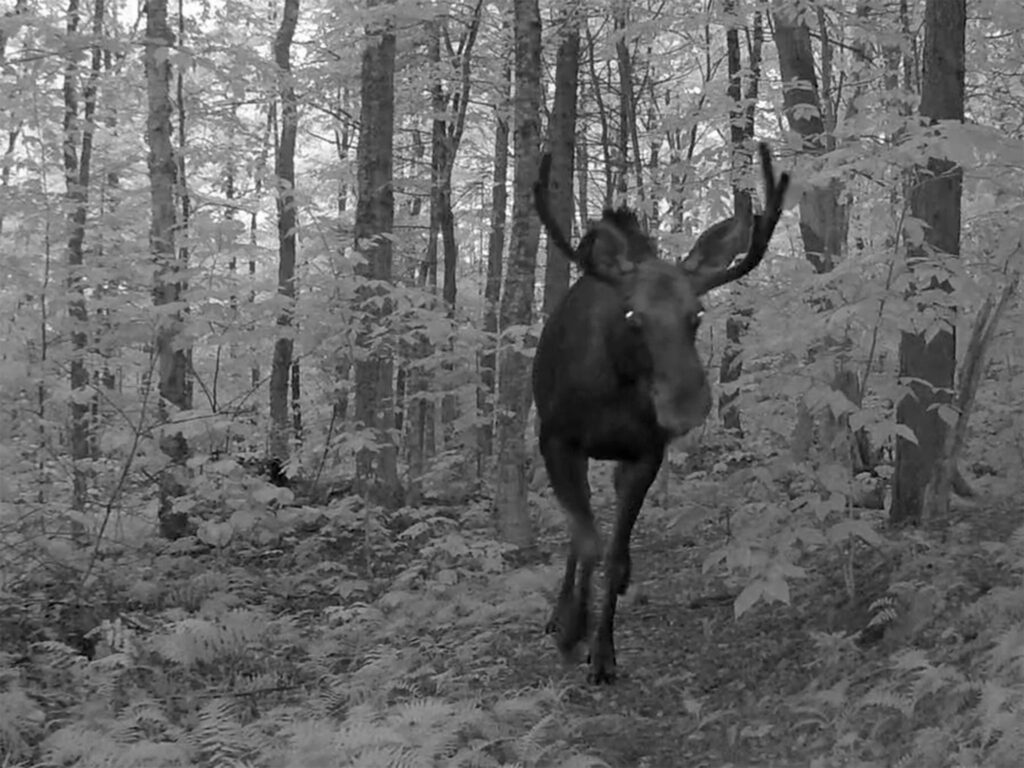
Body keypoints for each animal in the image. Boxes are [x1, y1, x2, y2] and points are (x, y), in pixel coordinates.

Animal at [532, 141, 786, 684]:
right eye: (632, 315)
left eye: (697, 314)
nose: (685, 403)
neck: (613, 390)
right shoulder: (555, 439)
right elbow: (586, 541)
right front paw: (572, 631)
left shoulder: (645, 453)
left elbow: (611, 553)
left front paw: (604, 651)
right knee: (578, 532)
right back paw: (561, 614)